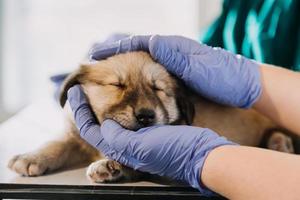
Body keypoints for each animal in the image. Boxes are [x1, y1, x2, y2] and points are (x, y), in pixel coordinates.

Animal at [7, 51, 298, 183]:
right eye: (118, 85)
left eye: (158, 89)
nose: (147, 115)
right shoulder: (76, 136)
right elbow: (56, 144)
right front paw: (30, 157)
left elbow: (133, 158)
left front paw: (110, 165)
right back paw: (278, 144)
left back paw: (280, 144)